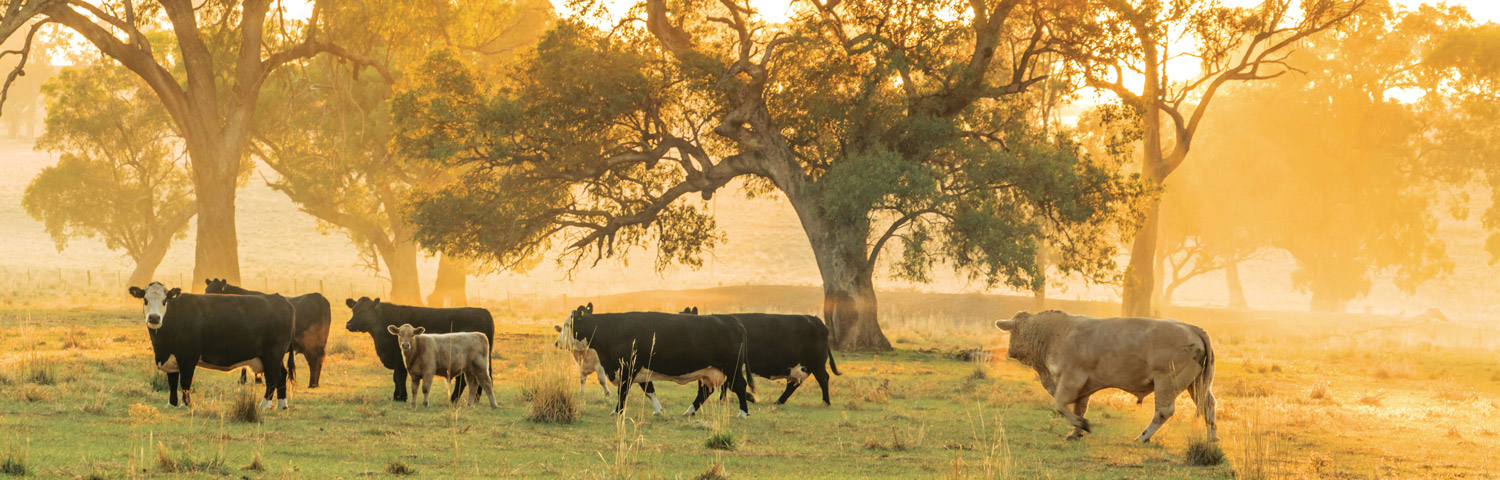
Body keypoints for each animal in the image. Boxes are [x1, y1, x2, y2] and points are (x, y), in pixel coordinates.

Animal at [130, 283, 294, 411]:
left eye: (165, 301)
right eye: (145, 300)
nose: (154, 317)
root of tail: (279, 298)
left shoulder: (188, 358)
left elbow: (185, 382)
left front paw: (185, 404)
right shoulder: (171, 358)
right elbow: (172, 382)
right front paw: (171, 404)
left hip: (273, 354)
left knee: (272, 378)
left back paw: (264, 404)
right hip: (273, 357)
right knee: (281, 374)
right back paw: (282, 405)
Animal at [346, 297, 498, 402]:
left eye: (364, 311)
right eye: (353, 310)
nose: (349, 324)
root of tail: (483, 311)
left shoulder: (399, 360)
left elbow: (399, 377)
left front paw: (402, 397)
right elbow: (395, 378)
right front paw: (396, 396)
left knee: (465, 380)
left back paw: (454, 399)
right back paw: (474, 399)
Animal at [555, 307, 750, 417]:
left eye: (567, 325)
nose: (557, 343)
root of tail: (733, 320)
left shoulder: (628, 368)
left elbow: (622, 392)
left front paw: (617, 411)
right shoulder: (640, 369)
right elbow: (649, 390)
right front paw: (658, 410)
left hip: (731, 368)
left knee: (740, 386)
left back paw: (743, 413)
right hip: (708, 371)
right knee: (704, 392)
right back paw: (689, 411)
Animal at [684, 307, 846, 405]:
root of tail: (815, 320)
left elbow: (729, 384)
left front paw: (748, 397)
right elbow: (726, 384)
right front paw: (724, 400)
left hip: (816, 363)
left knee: (823, 378)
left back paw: (826, 402)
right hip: (798, 367)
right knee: (793, 385)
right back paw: (779, 402)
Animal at [996, 312, 1218, 444]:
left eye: (1012, 333)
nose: (1009, 351)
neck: (1055, 333)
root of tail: (1191, 328)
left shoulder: (1070, 380)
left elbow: (1060, 405)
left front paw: (1082, 425)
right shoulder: (1083, 388)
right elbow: (1078, 408)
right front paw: (1075, 432)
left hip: (1167, 382)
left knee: (1163, 411)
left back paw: (1143, 437)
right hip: (1197, 384)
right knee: (1207, 405)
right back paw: (1212, 438)